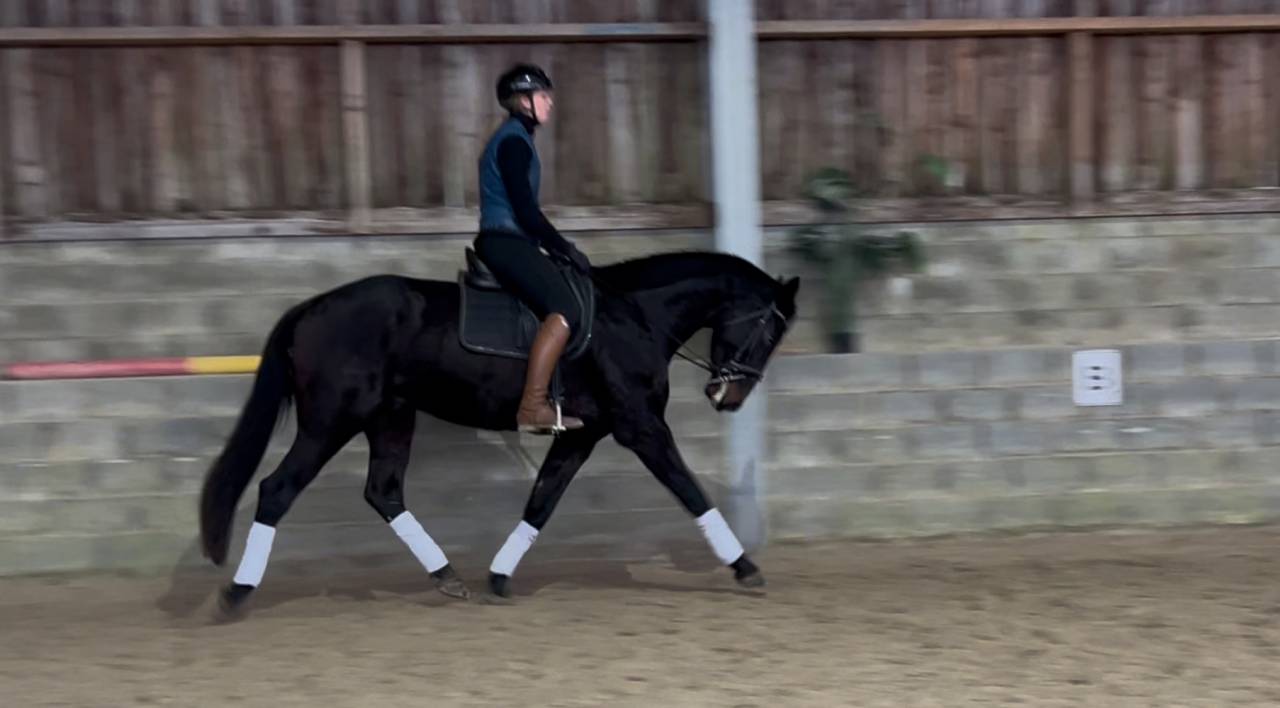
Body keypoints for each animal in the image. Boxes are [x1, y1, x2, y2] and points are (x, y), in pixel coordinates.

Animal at [198, 248, 799, 615]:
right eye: (769, 331)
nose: (728, 397)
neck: (634, 317)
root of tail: (309, 309)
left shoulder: (580, 435)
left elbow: (542, 502)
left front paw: (498, 578)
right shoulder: (641, 427)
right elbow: (690, 491)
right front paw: (746, 568)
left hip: (391, 416)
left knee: (384, 491)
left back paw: (448, 577)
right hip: (332, 420)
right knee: (277, 489)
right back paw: (236, 593)